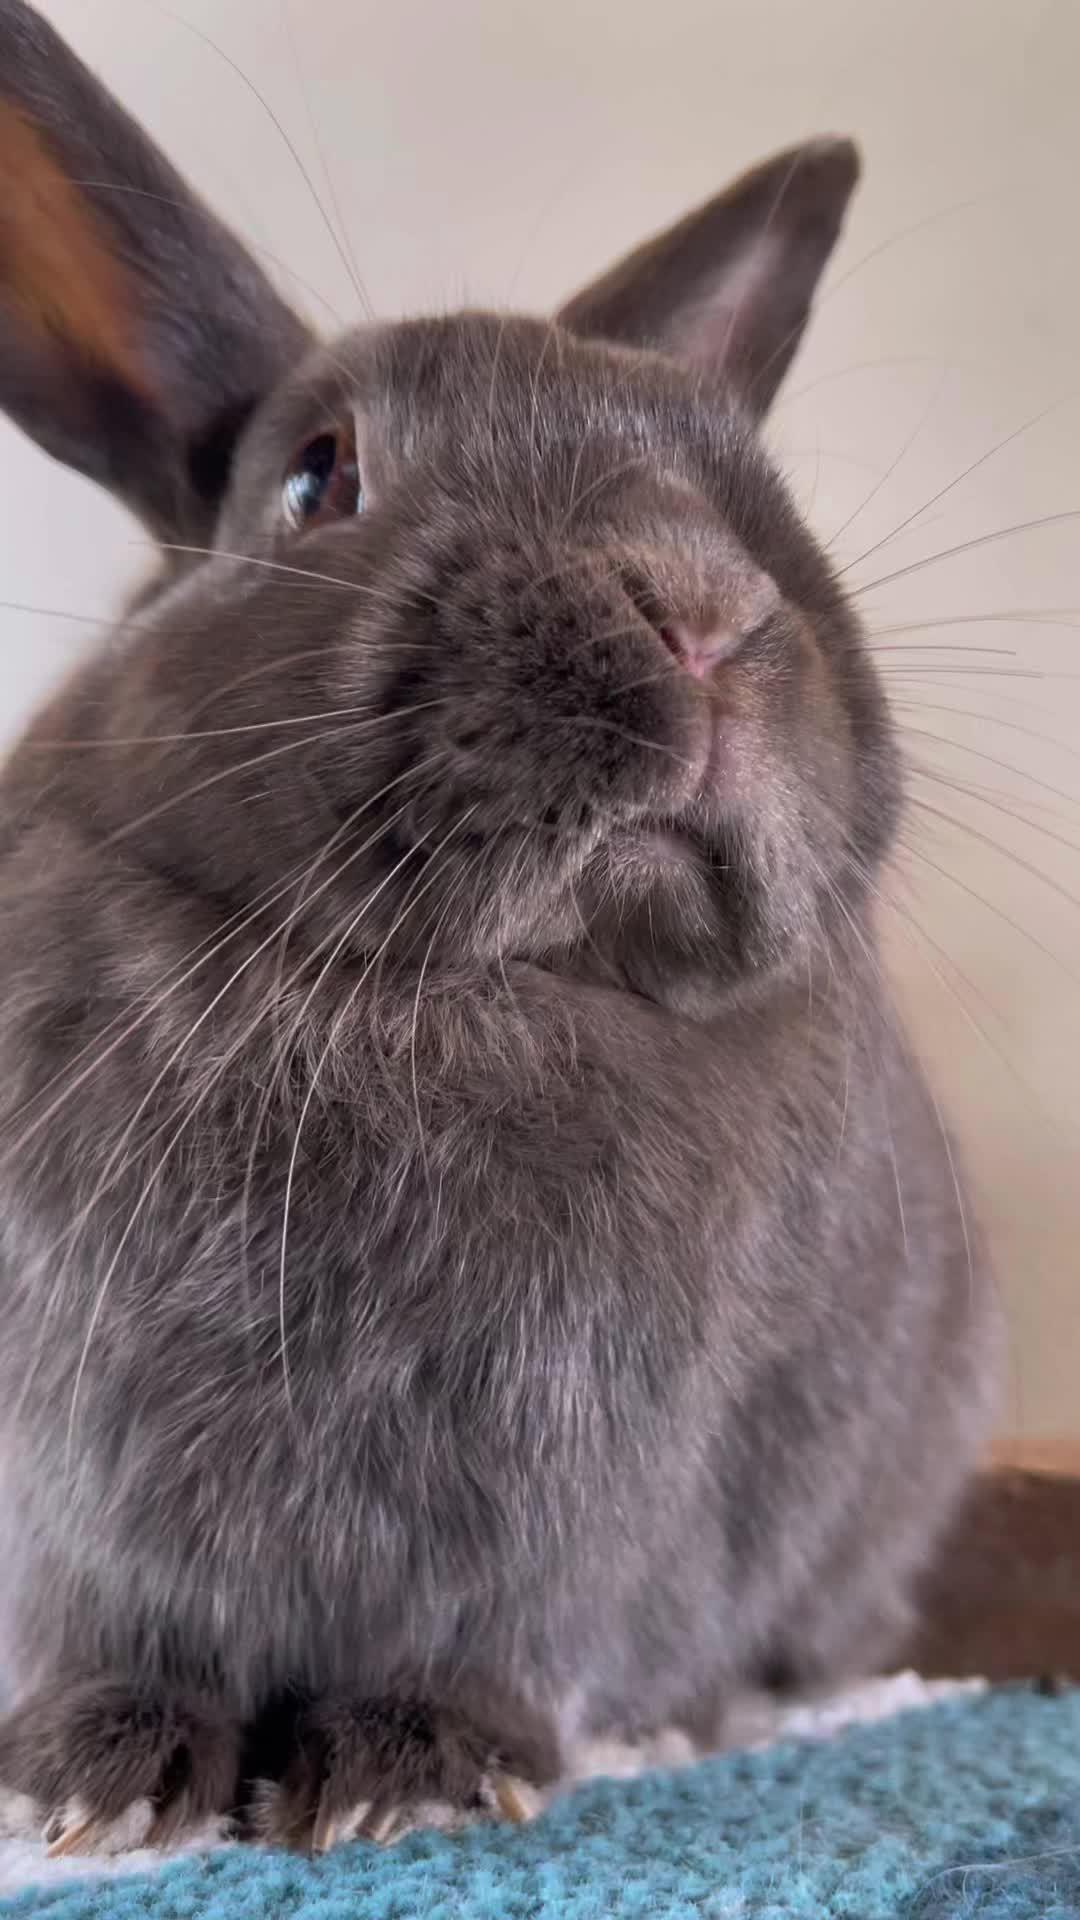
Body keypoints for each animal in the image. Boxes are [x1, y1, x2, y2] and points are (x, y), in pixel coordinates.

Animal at [0, 0, 998, 1857]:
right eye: (317, 479)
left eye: (750, 486)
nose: (701, 611)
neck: (458, 992)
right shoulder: (75, 1466)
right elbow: (123, 1626)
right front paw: (105, 1779)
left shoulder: (585, 1480)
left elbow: (498, 1629)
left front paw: (408, 1772)